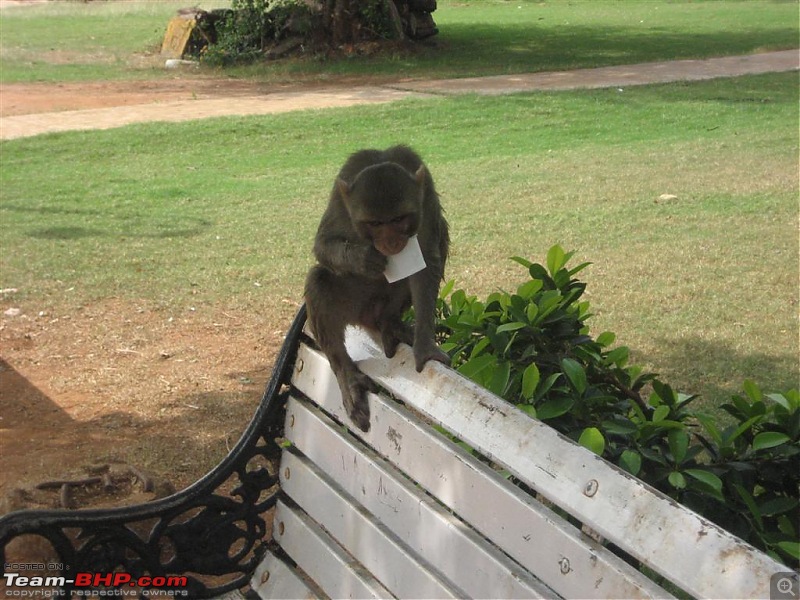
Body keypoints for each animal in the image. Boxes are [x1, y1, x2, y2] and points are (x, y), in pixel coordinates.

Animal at [304, 145, 446, 432]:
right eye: (376, 223)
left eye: (399, 218)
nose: (391, 242)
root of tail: (368, 318)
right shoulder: (340, 199)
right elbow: (322, 245)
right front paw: (362, 259)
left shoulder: (425, 197)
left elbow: (426, 260)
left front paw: (425, 343)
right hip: (352, 304)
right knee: (318, 280)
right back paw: (347, 374)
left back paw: (389, 322)